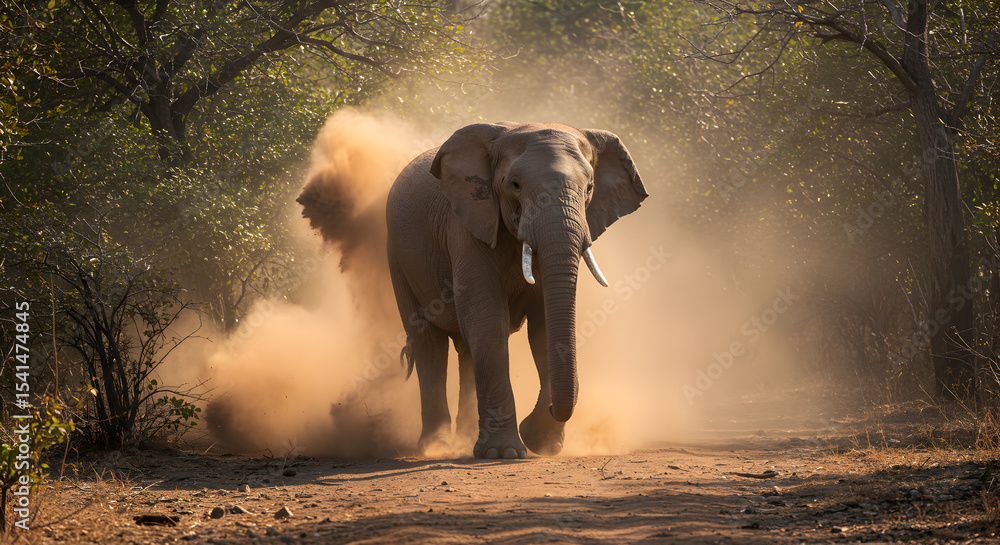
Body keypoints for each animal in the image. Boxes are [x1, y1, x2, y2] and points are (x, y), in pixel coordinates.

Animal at [386, 122, 647, 459]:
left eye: (589, 188)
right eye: (515, 185)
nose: (549, 409)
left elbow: (544, 328)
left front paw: (540, 442)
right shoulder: (468, 226)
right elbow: (488, 322)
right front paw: (504, 454)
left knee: (466, 348)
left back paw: (464, 440)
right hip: (397, 257)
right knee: (429, 343)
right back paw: (435, 448)